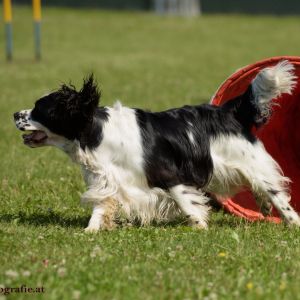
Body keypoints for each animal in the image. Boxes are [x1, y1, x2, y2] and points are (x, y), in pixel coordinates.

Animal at [13, 59, 300, 231]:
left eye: (39, 109)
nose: (15, 114)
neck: (96, 133)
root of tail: (229, 111)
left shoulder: (169, 173)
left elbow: (185, 201)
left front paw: (199, 225)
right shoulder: (107, 180)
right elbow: (100, 207)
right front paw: (90, 231)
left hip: (249, 162)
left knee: (276, 192)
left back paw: (292, 221)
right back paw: (264, 207)